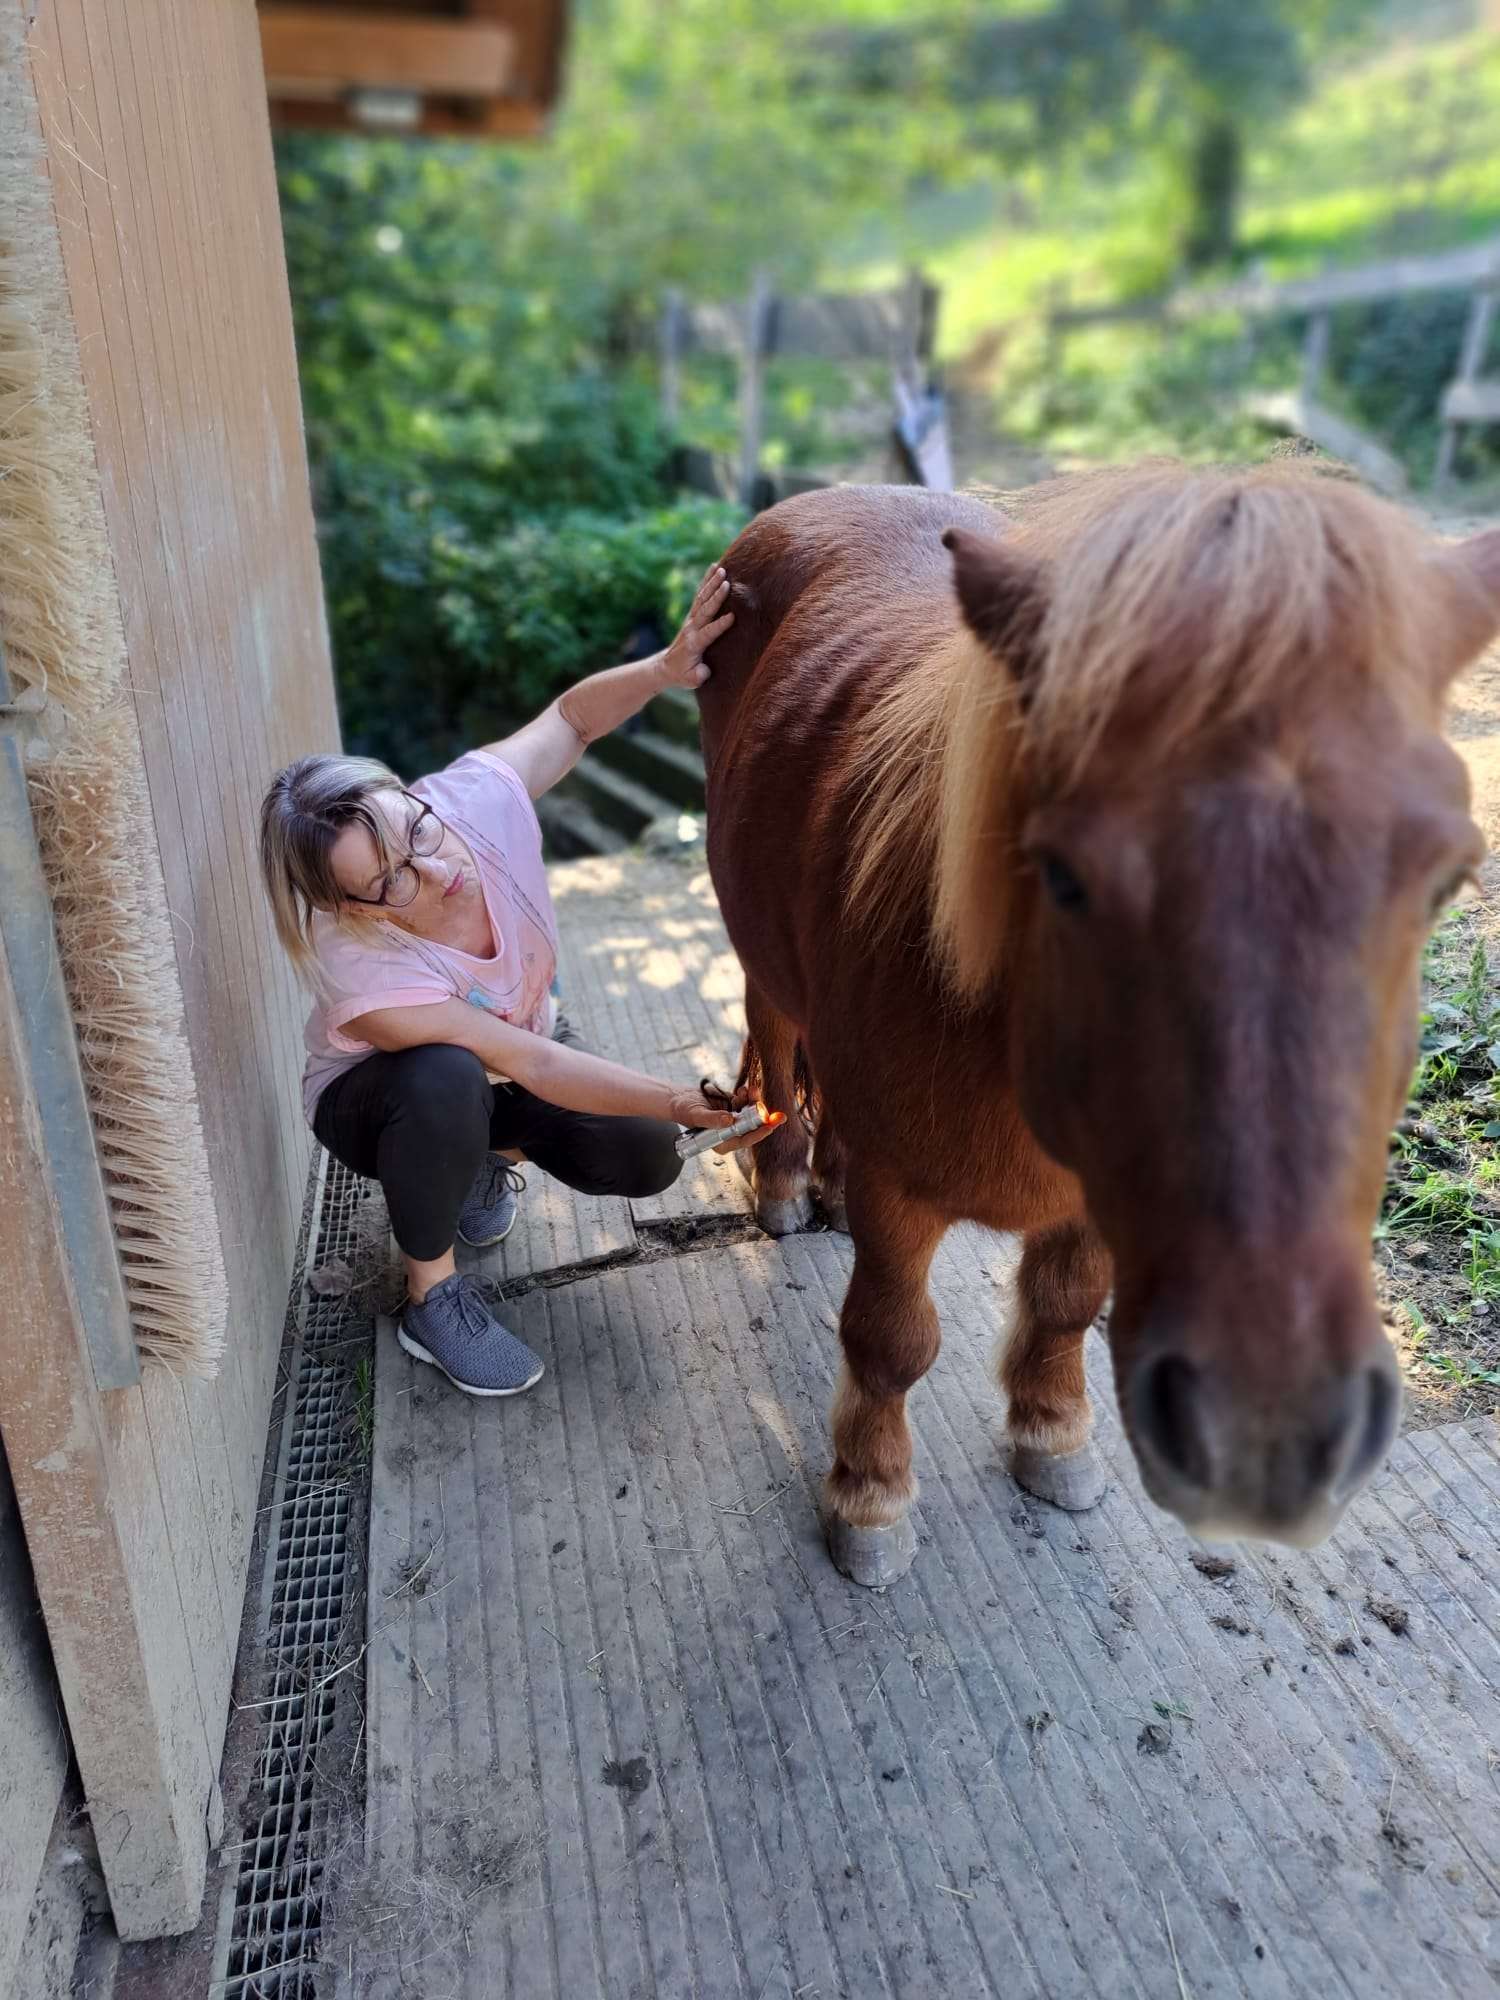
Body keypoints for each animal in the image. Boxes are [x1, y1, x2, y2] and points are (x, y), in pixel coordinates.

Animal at [697, 464, 1500, 1586]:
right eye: (1065, 875)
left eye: (1447, 881)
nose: (1269, 1432)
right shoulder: (909, 1199)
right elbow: (891, 1338)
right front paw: (869, 1498)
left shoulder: (1094, 1197)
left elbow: (1068, 1298)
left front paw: (1053, 1436)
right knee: (775, 1047)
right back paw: (783, 1185)